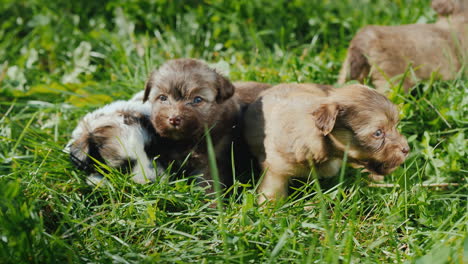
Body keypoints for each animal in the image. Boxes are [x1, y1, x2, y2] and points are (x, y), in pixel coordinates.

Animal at [245, 83, 410, 203]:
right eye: (378, 133)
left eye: (395, 125)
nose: (407, 149)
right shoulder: (276, 168)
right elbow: (273, 191)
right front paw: (269, 210)